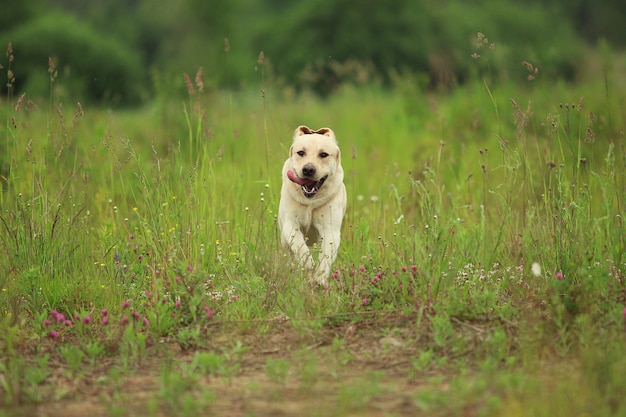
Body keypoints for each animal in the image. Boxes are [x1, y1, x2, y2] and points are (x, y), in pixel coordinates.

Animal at [278, 125, 346, 284]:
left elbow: (326, 256)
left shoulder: (330, 229)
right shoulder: (291, 224)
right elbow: (300, 247)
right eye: (301, 152)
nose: (308, 169)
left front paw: (319, 280)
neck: (310, 201)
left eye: (323, 154)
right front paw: (308, 266)